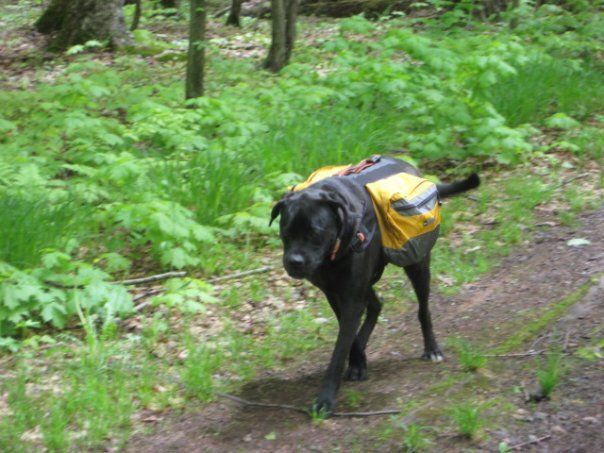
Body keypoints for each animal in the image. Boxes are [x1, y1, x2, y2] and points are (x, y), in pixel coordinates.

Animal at [270, 156, 480, 414]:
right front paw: (358, 362)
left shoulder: (351, 296)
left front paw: (325, 399)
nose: (295, 261)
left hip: (417, 265)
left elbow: (339, 350)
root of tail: (413, 170)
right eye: (286, 232)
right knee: (377, 305)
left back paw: (432, 349)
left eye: (315, 233)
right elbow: (349, 338)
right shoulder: (336, 294)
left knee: (423, 309)